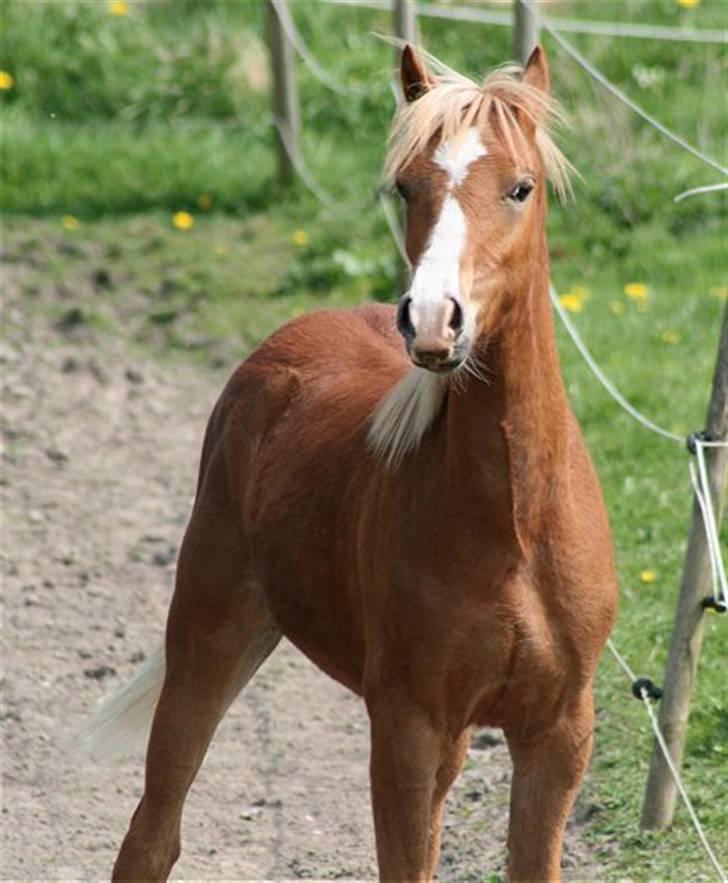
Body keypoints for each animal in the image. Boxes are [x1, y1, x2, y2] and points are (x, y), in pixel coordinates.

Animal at [81, 44, 617, 882]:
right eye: (406, 186)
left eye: (521, 187)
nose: (431, 319)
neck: (515, 522)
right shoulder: (407, 727)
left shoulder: (557, 734)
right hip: (209, 632)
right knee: (152, 833)